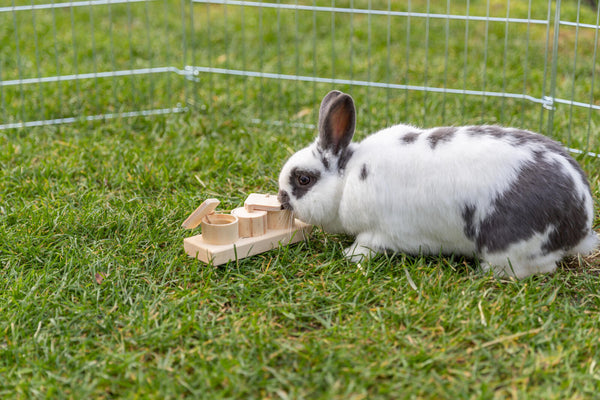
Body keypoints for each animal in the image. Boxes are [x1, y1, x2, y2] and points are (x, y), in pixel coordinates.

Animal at [278, 90, 596, 278]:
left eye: (303, 179)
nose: (281, 199)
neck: (348, 179)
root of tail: (581, 223)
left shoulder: (379, 232)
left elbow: (365, 245)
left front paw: (350, 256)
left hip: (514, 246)